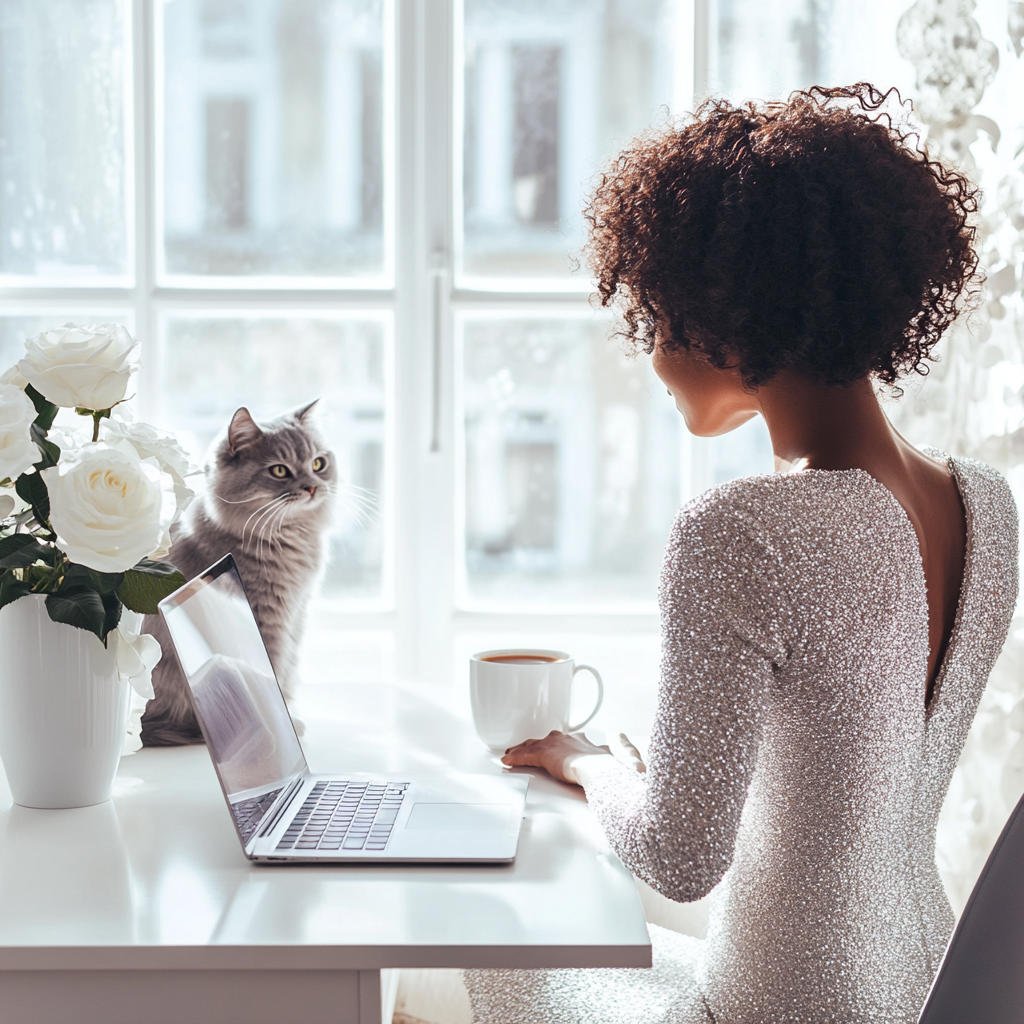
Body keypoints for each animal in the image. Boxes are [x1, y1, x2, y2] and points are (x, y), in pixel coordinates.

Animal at [140, 399, 337, 745]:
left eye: (318, 463)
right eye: (279, 470)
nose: (313, 487)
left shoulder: (296, 614)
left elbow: (287, 668)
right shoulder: (267, 616)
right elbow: (274, 669)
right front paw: (286, 721)